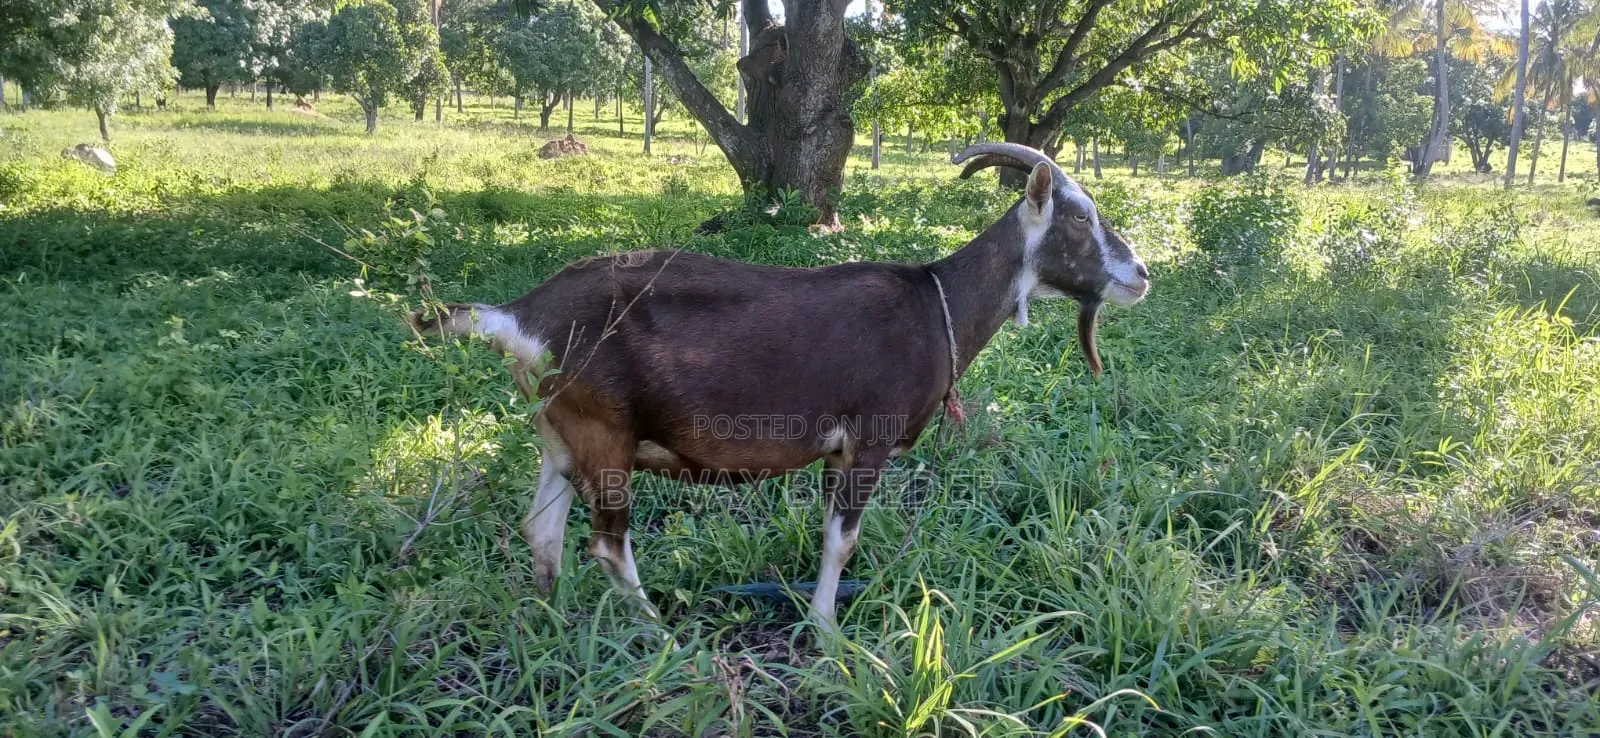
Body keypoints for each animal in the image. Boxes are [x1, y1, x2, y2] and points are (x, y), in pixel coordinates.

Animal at [409, 143, 1150, 628]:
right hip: (605, 435)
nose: (1140, 274)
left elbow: (828, 532)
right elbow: (843, 539)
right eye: (1080, 217)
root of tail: (522, 316)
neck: (935, 301)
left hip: (560, 438)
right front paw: (826, 632)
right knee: (607, 544)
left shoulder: (836, 451)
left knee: (543, 530)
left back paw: (551, 619)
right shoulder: (869, 441)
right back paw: (658, 634)